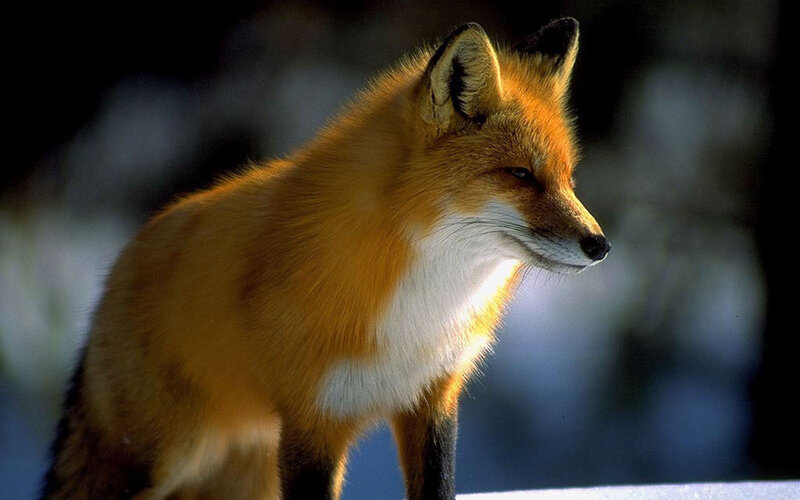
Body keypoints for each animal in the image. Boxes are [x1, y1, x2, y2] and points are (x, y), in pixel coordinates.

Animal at [42, 18, 609, 500]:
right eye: (521, 175)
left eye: (568, 179)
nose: (600, 245)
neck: (424, 301)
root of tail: (117, 267)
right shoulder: (315, 419)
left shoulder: (432, 399)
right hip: (161, 458)